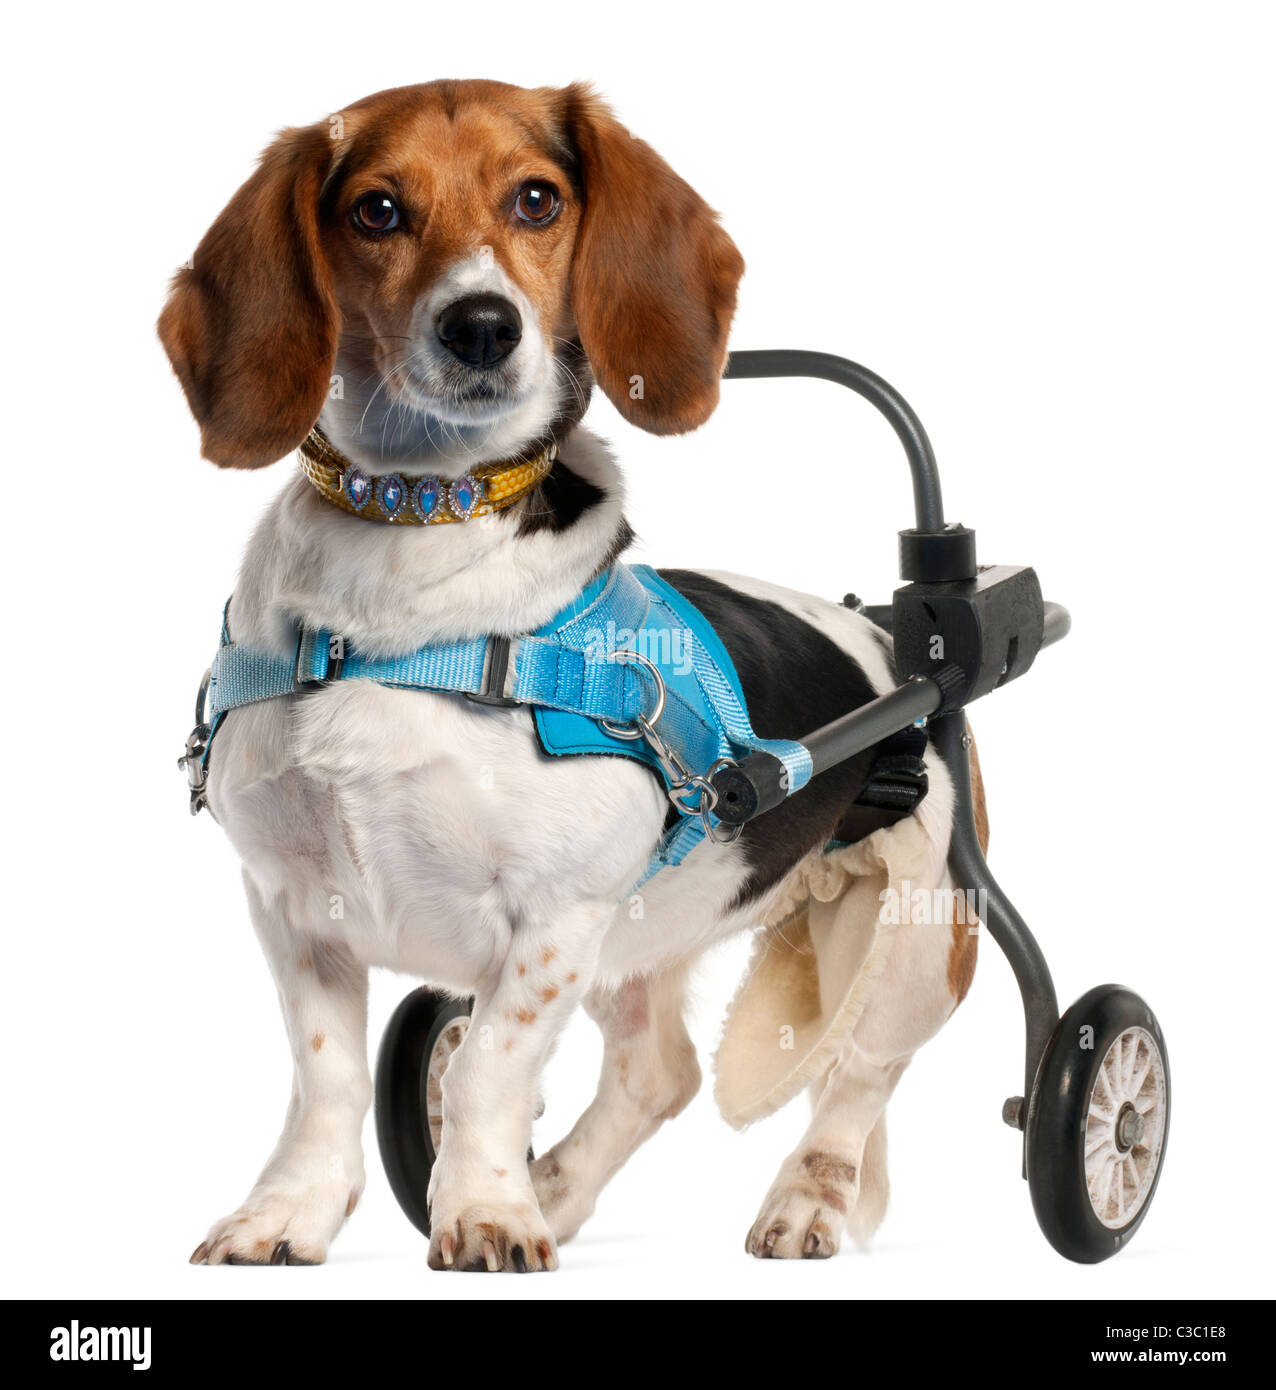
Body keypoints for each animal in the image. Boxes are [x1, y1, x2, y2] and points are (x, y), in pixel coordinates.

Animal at [159, 76, 989, 1273]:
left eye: (538, 198)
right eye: (375, 210)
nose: (481, 325)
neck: (415, 553)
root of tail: (895, 636)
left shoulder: (555, 919)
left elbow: (486, 1067)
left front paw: (484, 1210)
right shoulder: (291, 905)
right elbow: (328, 1079)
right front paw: (291, 1212)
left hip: (924, 936)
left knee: (858, 1079)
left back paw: (803, 1201)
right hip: (646, 937)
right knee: (661, 1072)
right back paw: (560, 1184)